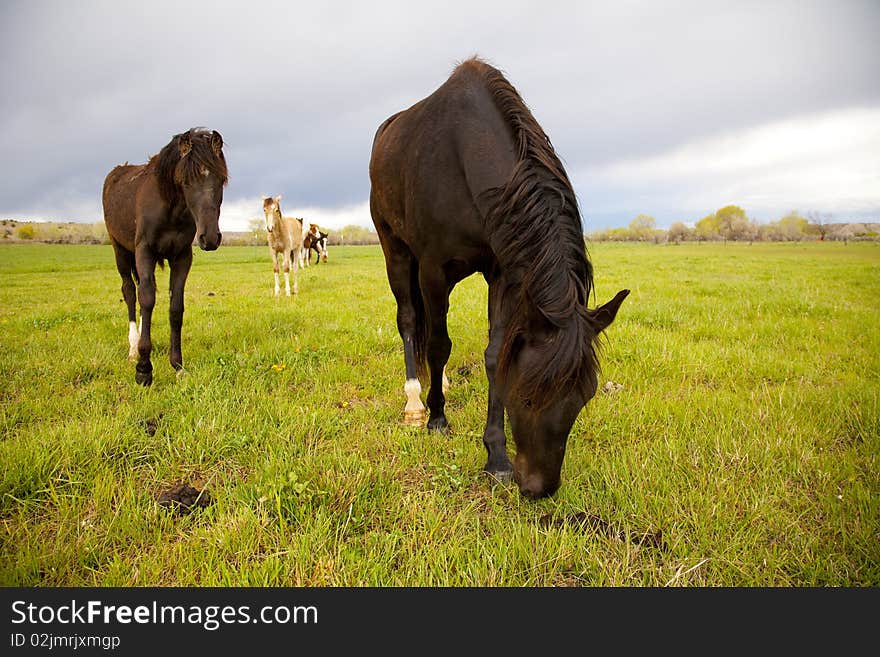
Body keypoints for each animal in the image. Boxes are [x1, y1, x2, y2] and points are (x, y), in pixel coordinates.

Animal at [368, 59, 628, 500]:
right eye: (526, 397)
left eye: (584, 396)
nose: (540, 488)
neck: (467, 152)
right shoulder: (434, 267)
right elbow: (438, 343)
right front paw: (437, 419)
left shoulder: (502, 273)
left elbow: (494, 354)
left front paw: (497, 457)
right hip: (398, 252)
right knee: (410, 321)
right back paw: (416, 402)